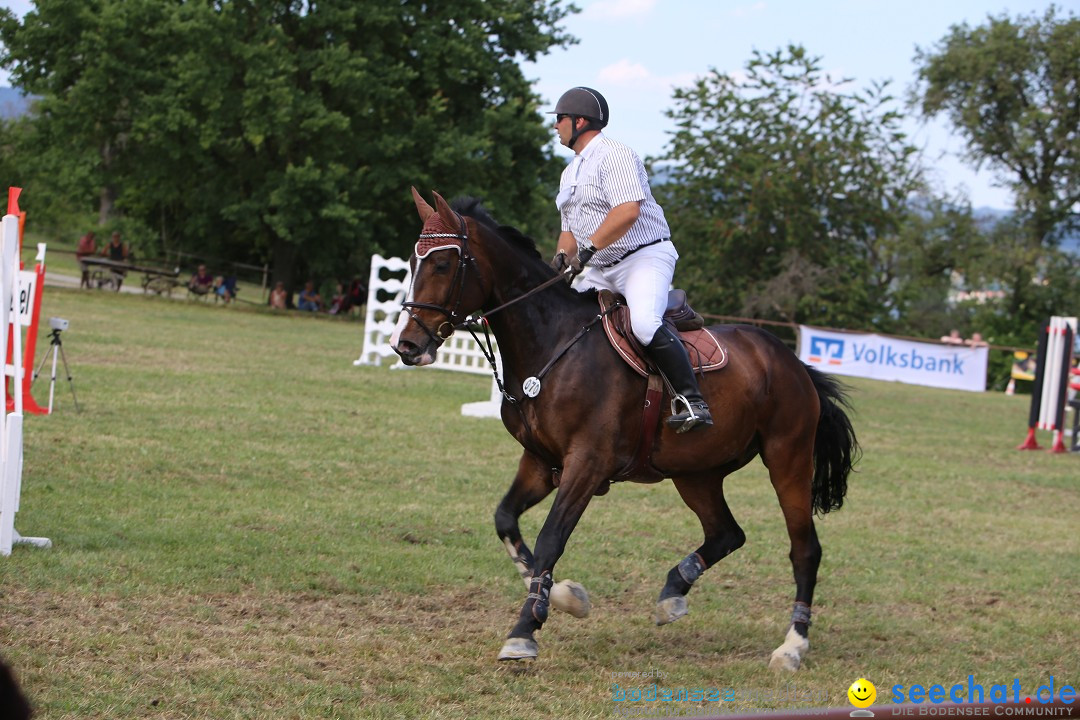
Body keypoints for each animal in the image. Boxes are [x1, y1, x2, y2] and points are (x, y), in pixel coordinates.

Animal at [393, 189, 855, 669]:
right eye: (411, 262)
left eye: (443, 264)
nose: (406, 345)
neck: (552, 343)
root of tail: (791, 360)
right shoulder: (539, 461)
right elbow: (507, 521)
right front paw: (562, 596)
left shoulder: (586, 464)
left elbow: (551, 538)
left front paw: (524, 632)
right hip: (696, 472)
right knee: (727, 532)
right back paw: (674, 592)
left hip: (788, 459)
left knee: (804, 549)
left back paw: (792, 645)